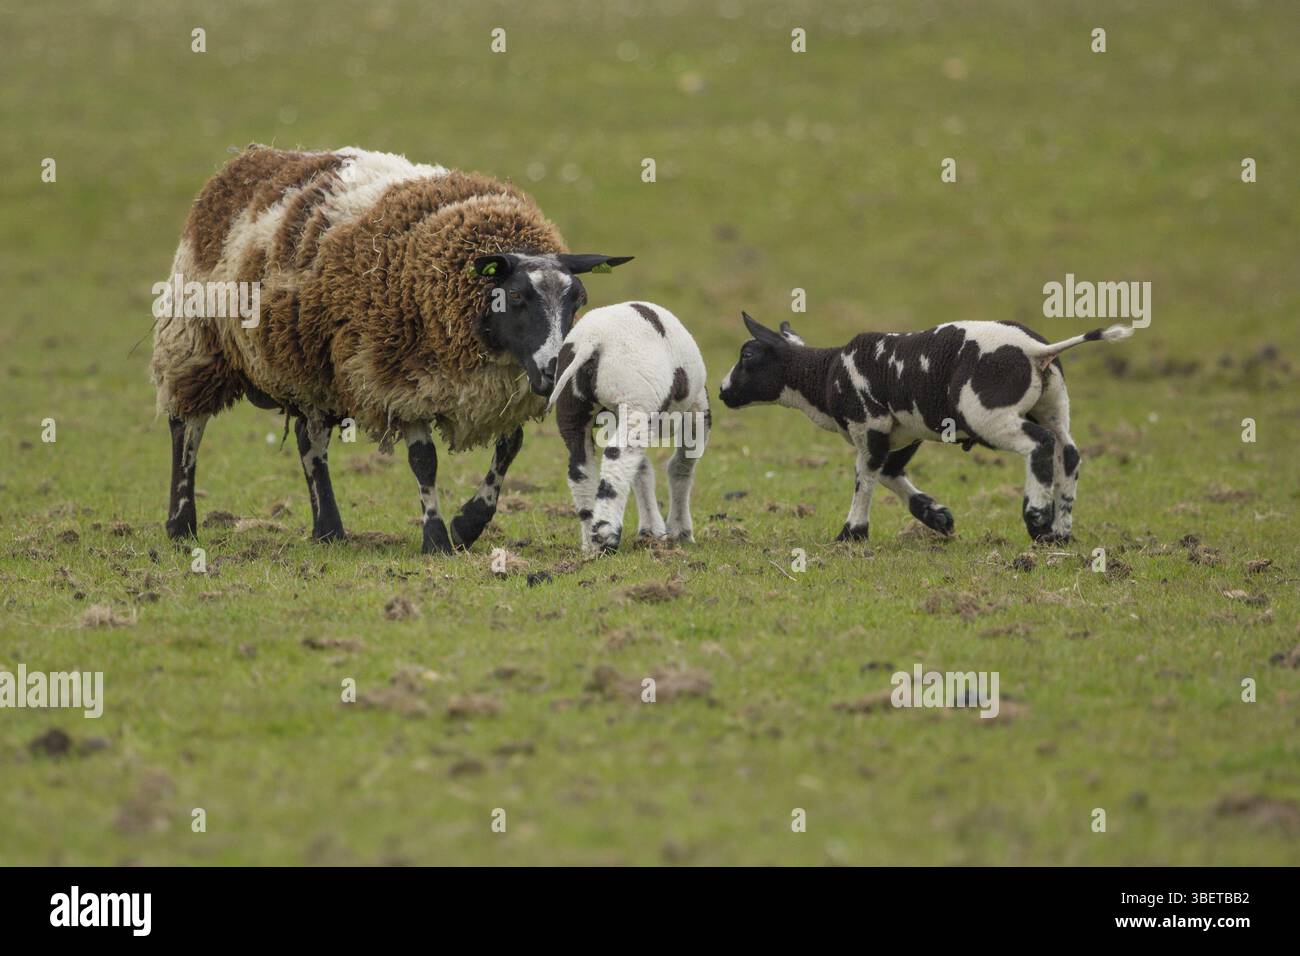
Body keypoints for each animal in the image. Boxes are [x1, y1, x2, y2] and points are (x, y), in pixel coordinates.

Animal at [150, 144, 631, 553]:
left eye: (578, 300)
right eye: (514, 297)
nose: (552, 371)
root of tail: (242, 162)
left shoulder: (503, 392)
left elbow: (509, 449)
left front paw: (468, 524)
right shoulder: (400, 381)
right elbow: (424, 461)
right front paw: (437, 538)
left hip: (313, 368)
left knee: (310, 440)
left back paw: (329, 530)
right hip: (195, 340)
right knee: (186, 428)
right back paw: (181, 524)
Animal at [547, 302, 710, 553]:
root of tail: (592, 340)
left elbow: (642, 470)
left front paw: (652, 530)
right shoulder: (698, 409)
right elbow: (681, 467)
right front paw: (680, 531)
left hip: (572, 411)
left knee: (579, 468)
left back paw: (591, 543)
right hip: (636, 401)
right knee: (617, 456)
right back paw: (606, 535)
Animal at [718, 312, 1135, 543]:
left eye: (747, 355)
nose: (722, 391)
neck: (824, 376)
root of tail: (1036, 352)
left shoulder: (869, 425)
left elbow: (865, 478)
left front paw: (851, 534)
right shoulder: (903, 431)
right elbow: (889, 472)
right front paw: (937, 517)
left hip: (988, 413)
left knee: (1040, 443)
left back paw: (1036, 517)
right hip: (1053, 404)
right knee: (1069, 453)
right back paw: (1059, 533)